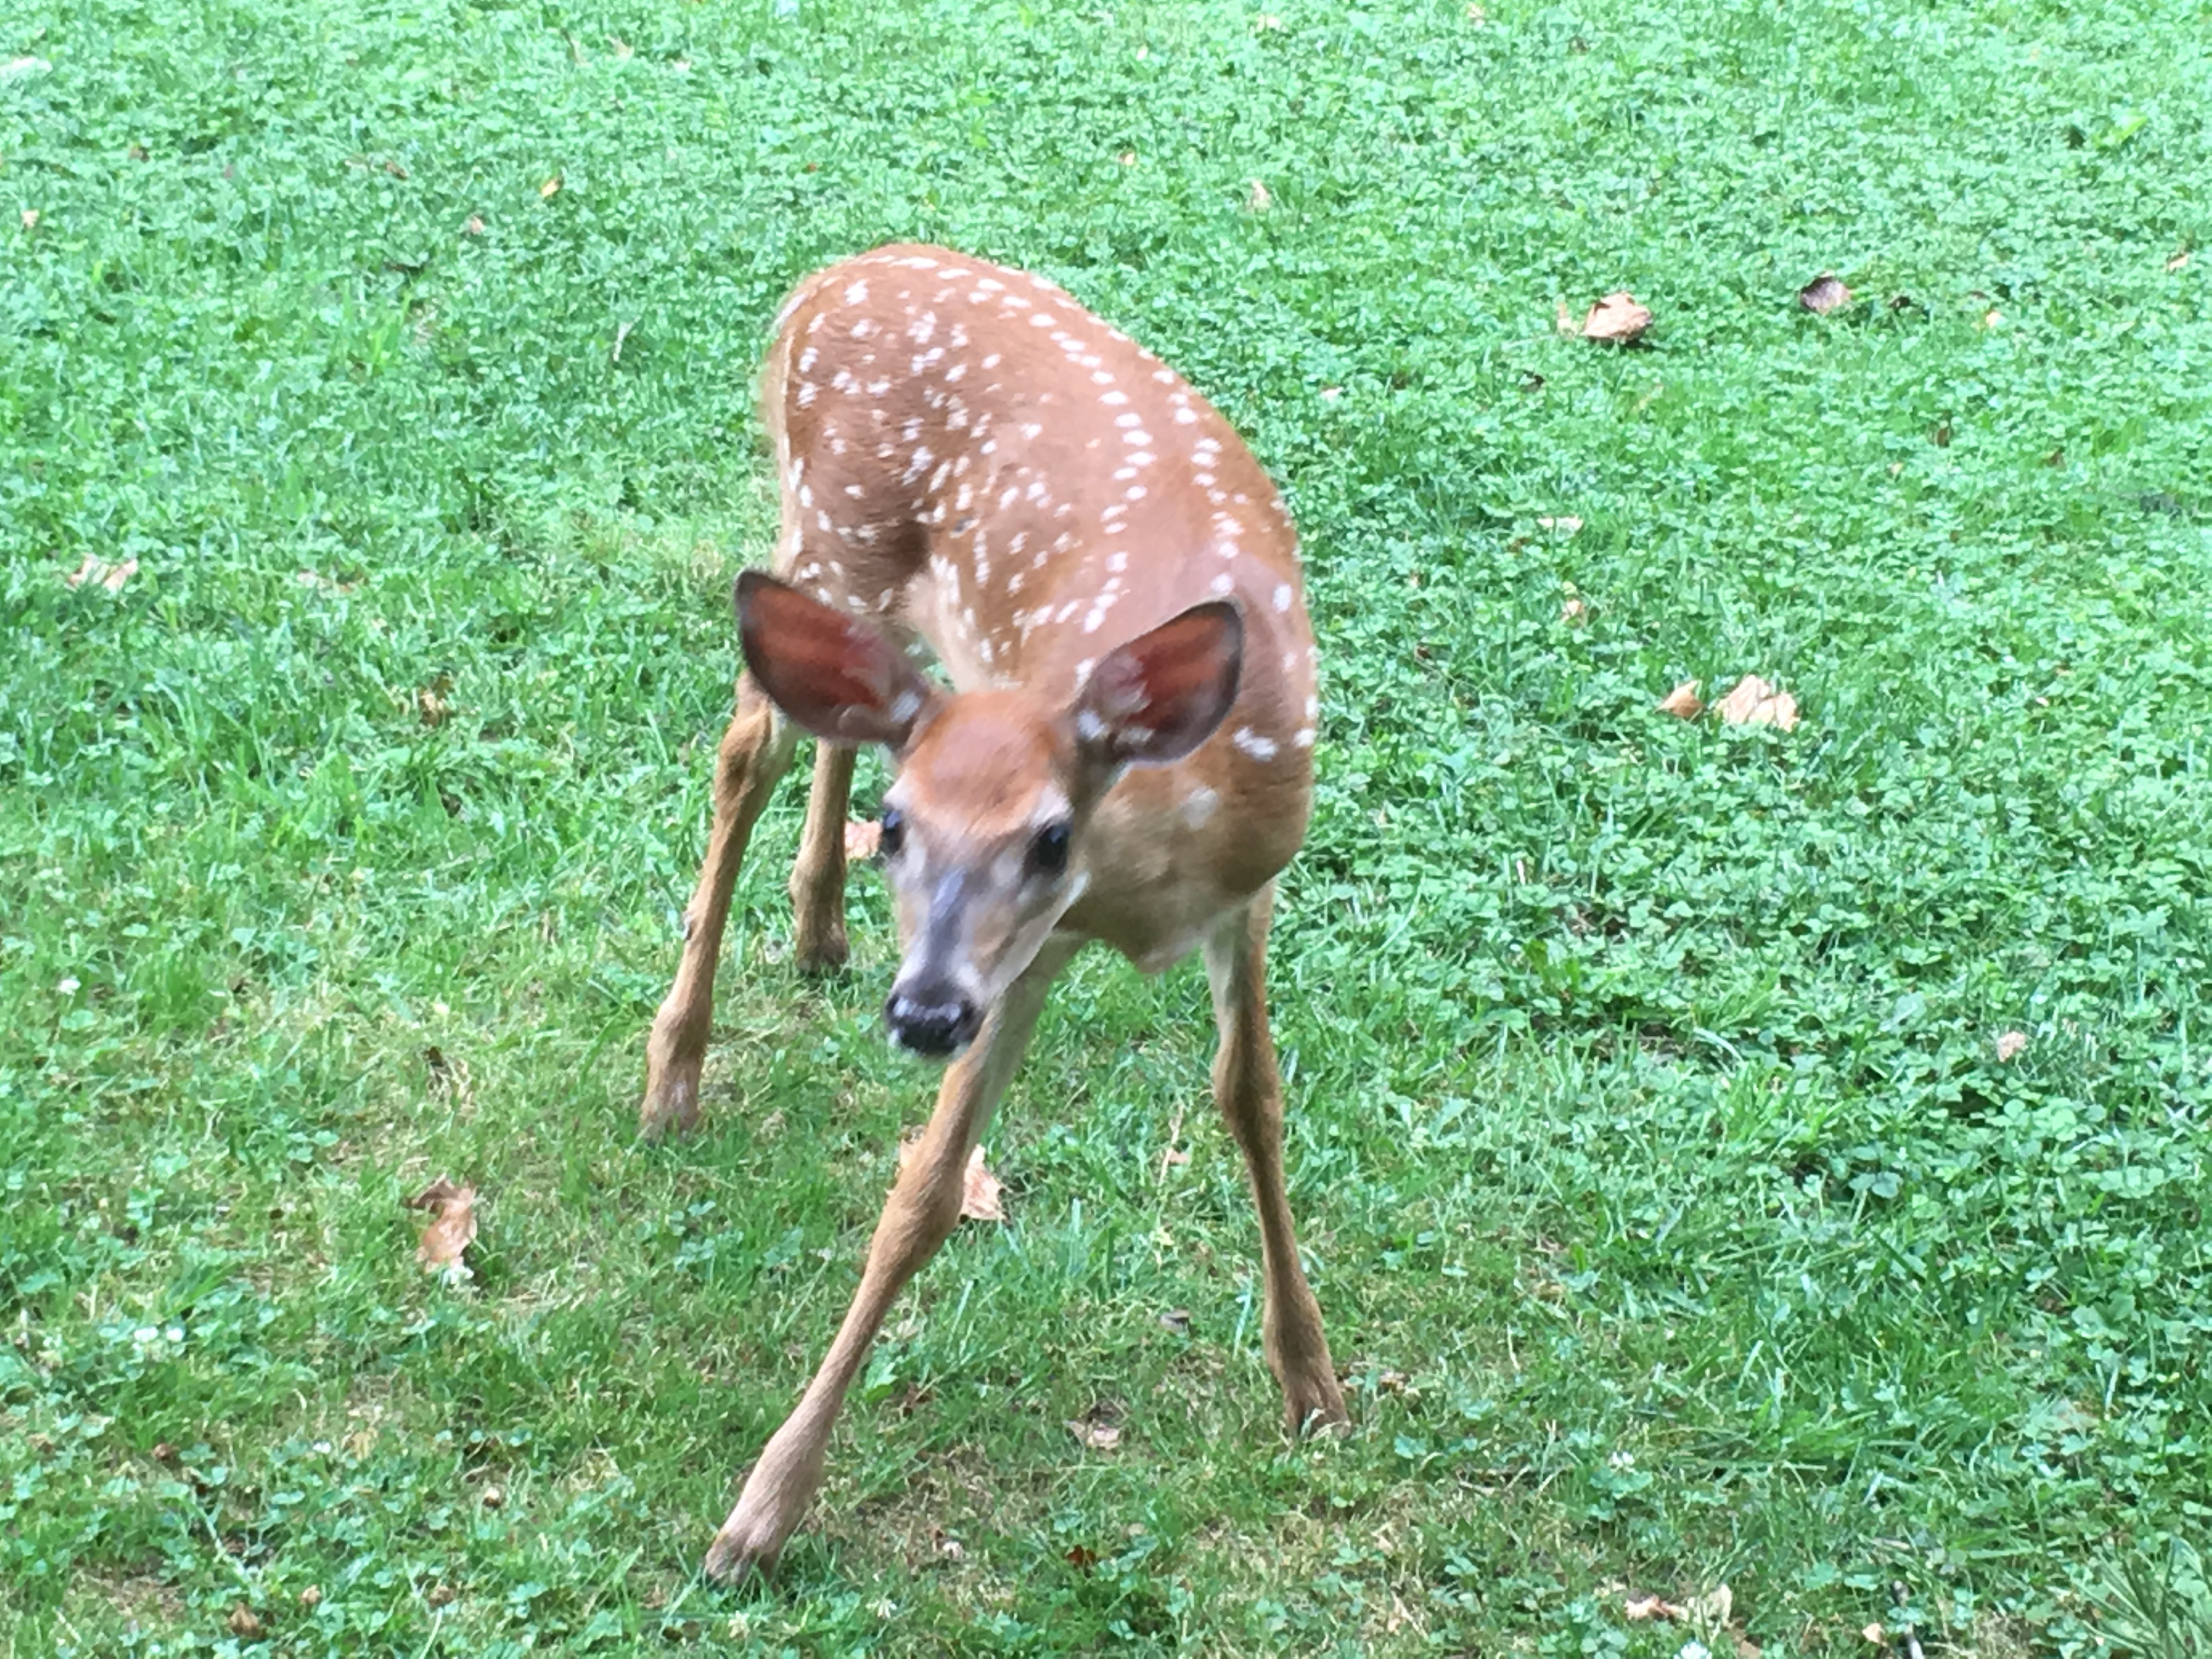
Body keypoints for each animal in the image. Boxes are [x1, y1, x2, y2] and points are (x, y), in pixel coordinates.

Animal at [635, 243, 1347, 1580]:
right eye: (903, 833)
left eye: (1051, 836)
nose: (919, 1014)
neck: (1152, 877)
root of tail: (824, 282)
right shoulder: (1027, 957)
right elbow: (924, 1192)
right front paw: (762, 1511)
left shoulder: (1251, 893)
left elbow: (1255, 1101)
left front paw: (1313, 1383)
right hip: (833, 528)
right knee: (751, 742)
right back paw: (675, 1073)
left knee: (854, 710)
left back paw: (818, 929)